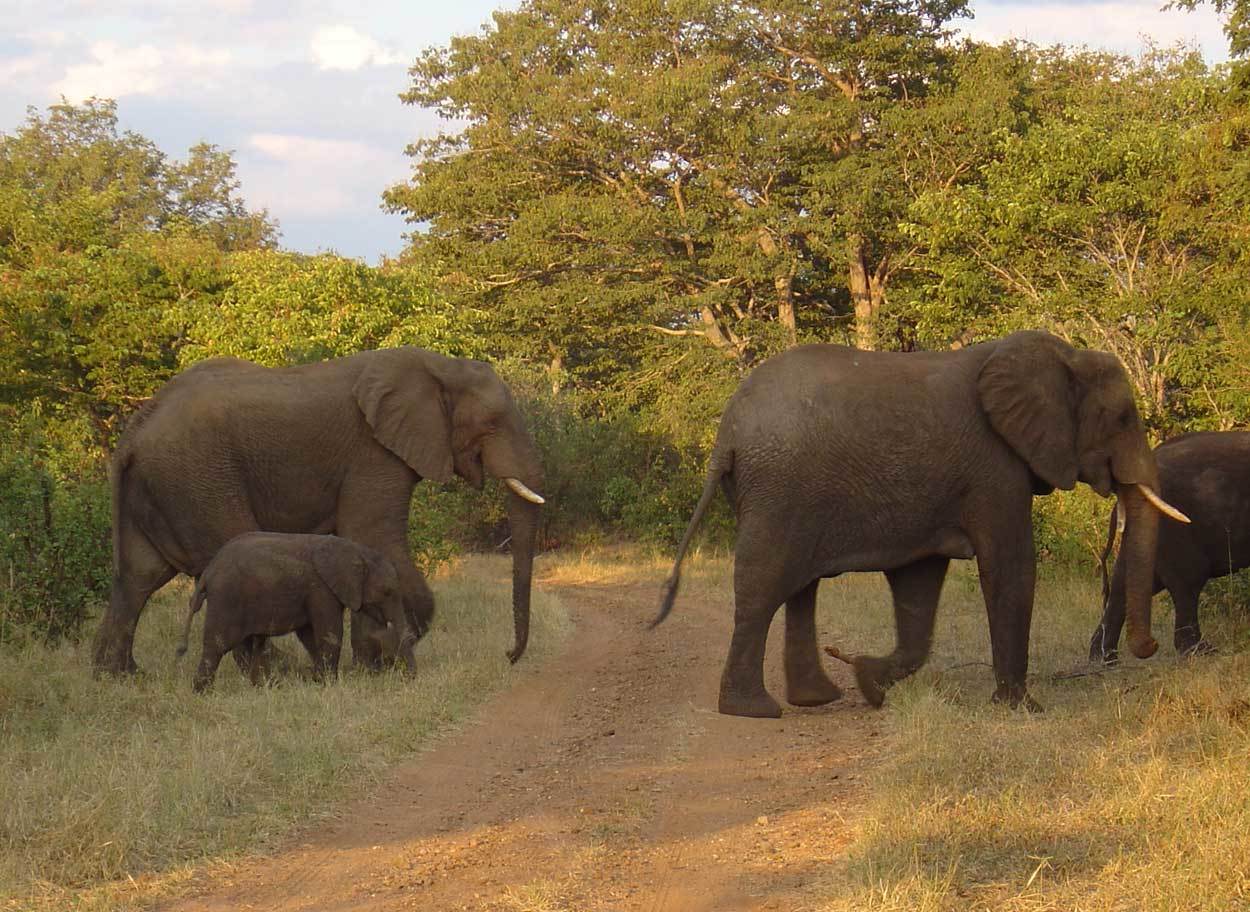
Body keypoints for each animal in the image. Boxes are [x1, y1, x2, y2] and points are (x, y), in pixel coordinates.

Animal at [176, 532, 415, 689]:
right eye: (387, 592)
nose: (410, 678)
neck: (357, 551)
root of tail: (208, 572)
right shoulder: (320, 589)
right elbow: (330, 633)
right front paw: (330, 683)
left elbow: (309, 635)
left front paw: (319, 680)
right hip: (227, 599)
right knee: (218, 645)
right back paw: (202, 691)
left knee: (247, 646)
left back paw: (265, 686)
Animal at [655, 329, 1190, 714]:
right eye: (1122, 419)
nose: (1148, 648)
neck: (1063, 355)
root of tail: (726, 434)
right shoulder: (992, 469)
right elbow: (1009, 566)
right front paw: (1023, 710)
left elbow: (919, 587)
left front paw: (869, 682)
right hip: (778, 490)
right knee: (765, 586)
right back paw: (753, 710)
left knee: (799, 588)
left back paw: (816, 699)